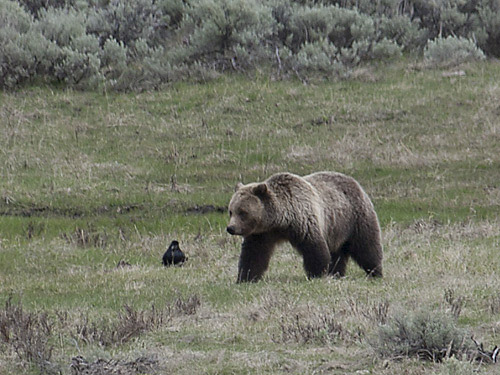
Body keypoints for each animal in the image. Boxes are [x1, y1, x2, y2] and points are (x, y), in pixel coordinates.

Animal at [227, 172, 382, 284]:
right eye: (231, 211)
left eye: (243, 212)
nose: (230, 228)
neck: (279, 220)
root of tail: (355, 182)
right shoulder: (262, 233)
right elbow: (253, 254)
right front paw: (245, 277)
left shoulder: (303, 221)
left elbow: (314, 249)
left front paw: (317, 273)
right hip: (336, 229)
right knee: (338, 253)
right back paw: (336, 273)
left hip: (355, 218)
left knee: (367, 246)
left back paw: (375, 272)